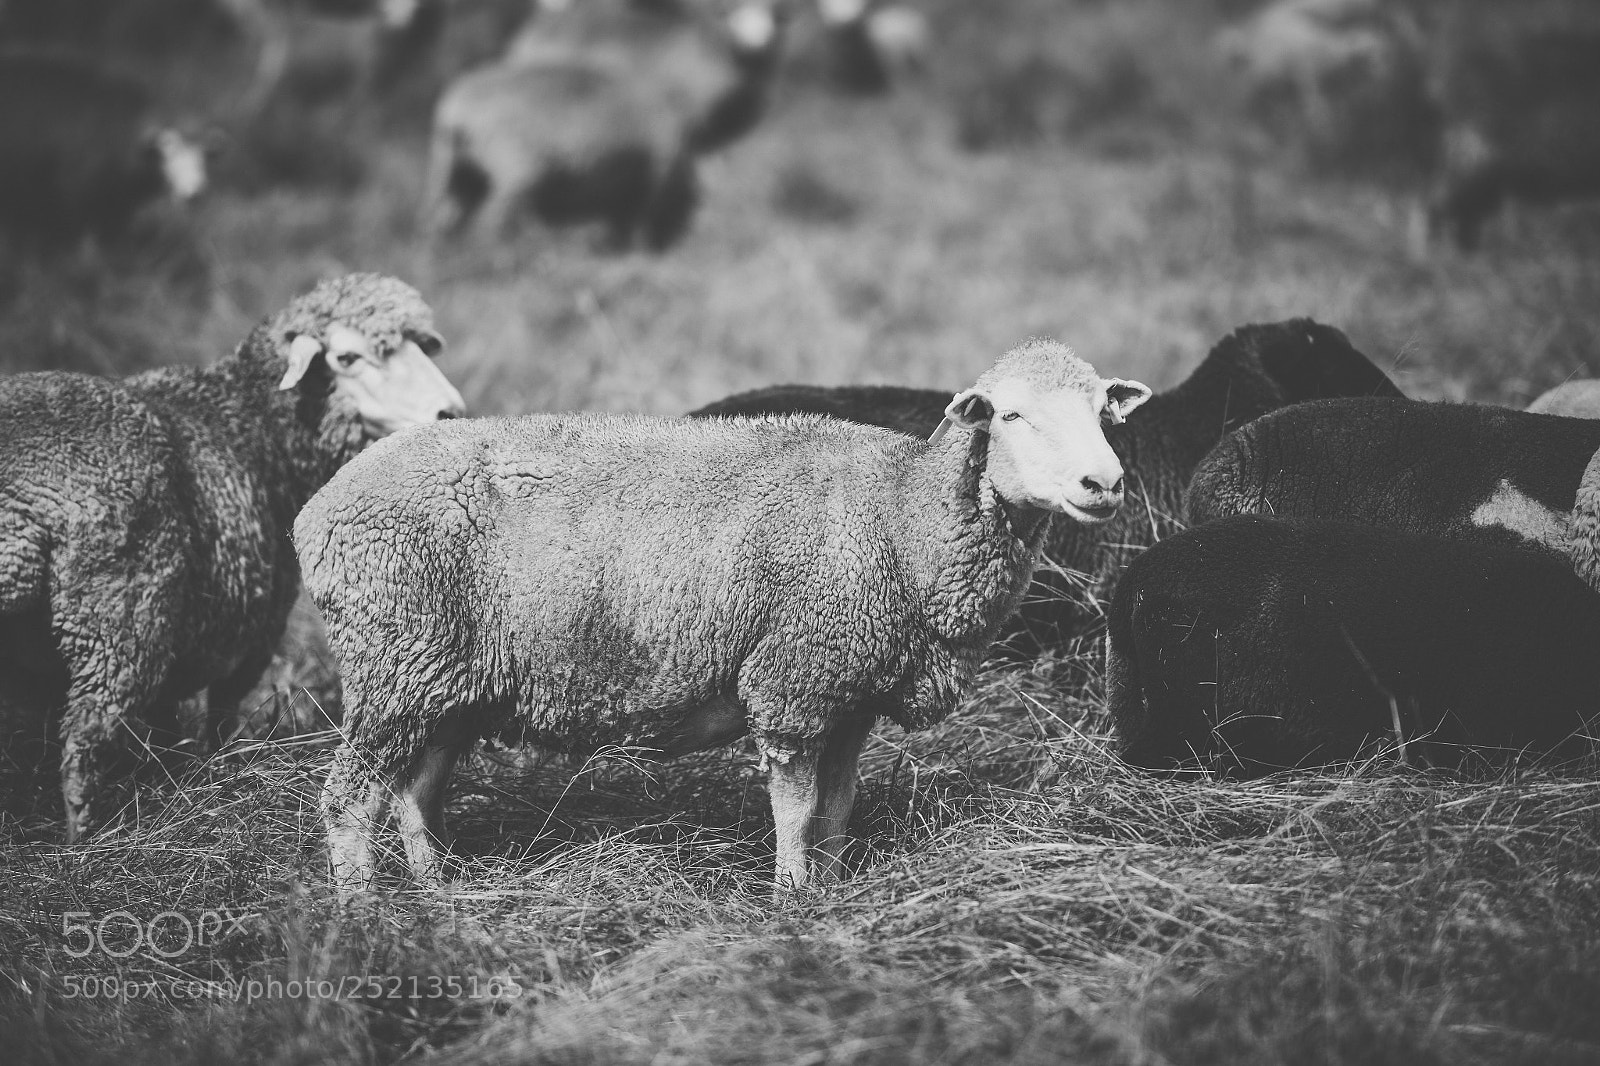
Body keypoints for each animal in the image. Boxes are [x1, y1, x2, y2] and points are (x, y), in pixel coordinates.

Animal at [0, 273, 465, 841]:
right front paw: (212, 775)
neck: (252, 422)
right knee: (84, 741)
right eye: (347, 357)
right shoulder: (251, 636)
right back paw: (83, 840)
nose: (449, 409)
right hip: (117, 621)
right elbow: (219, 720)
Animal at [295, 339, 1152, 896]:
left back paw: (437, 893)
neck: (901, 517)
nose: (1103, 483)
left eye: (1102, 414)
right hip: (394, 657)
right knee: (349, 798)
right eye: (1009, 415)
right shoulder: (794, 682)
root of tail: (319, 509)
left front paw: (827, 891)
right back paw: (364, 914)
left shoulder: (848, 695)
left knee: (413, 792)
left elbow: (836, 811)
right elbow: (796, 812)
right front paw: (790, 903)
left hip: (444, 677)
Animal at [422, 0, 786, 247]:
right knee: (493, 220)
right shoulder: (669, 157)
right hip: (513, 167)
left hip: (456, 171)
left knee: (443, 216)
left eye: (775, 13)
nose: (761, 40)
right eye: (733, 11)